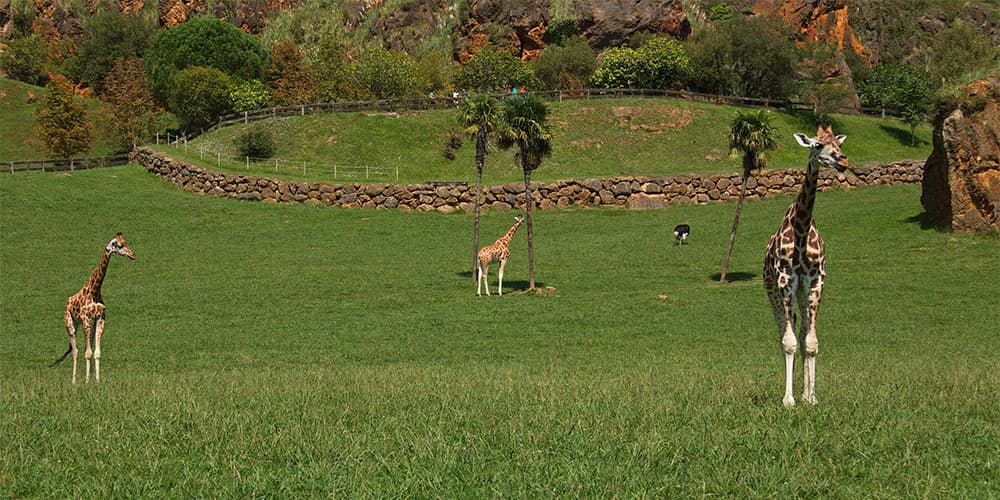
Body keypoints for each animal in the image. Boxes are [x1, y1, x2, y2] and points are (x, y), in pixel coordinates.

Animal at [52, 231, 137, 382]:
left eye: (126, 242)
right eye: (119, 245)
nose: (133, 255)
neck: (95, 290)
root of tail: (68, 302)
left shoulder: (100, 320)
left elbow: (96, 352)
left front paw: (96, 381)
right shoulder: (86, 320)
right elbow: (87, 353)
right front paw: (86, 381)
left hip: (87, 326)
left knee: (87, 347)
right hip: (70, 324)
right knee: (75, 350)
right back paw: (74, 381)